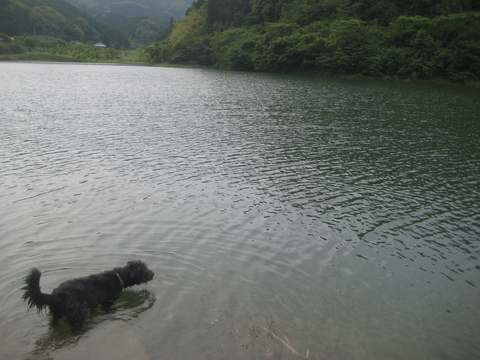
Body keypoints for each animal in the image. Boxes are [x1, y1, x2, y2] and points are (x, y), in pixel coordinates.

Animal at [22, 260, 154, 328]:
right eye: (145, 269)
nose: (153, 273)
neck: (118, 278)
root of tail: (56, 295)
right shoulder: (108, 302)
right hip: (77, 314)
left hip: (56, 314)